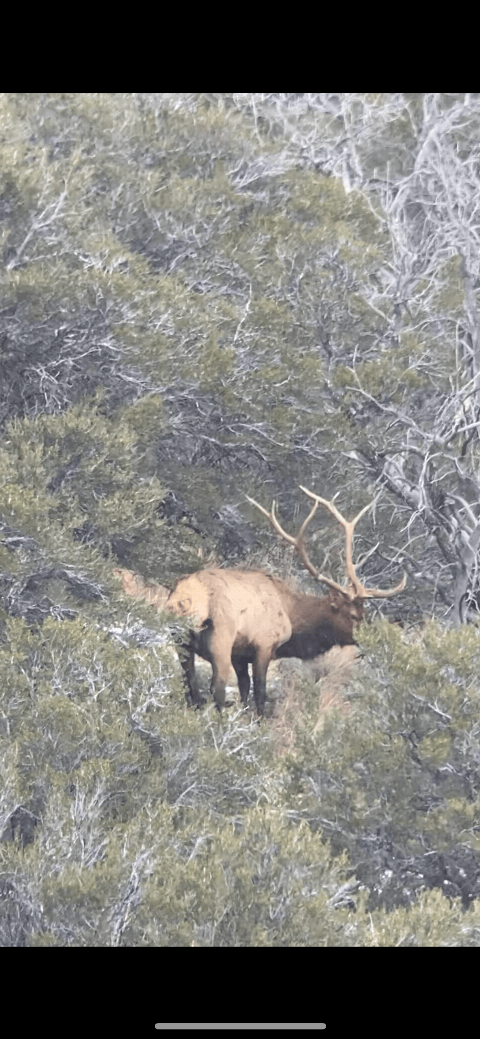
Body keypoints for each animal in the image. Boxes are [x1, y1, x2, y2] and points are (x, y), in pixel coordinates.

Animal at [163, 487, 406, 715]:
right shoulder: (263, 644)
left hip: (181, 640)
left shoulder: (240, 655)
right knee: (216, 687)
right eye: (354, 615)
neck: (290, 613)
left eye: (365, 612)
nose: (374, 638)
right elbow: (260, 692)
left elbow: (244, 689)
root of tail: (184, 597)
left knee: (189, 683)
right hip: (220, 637)